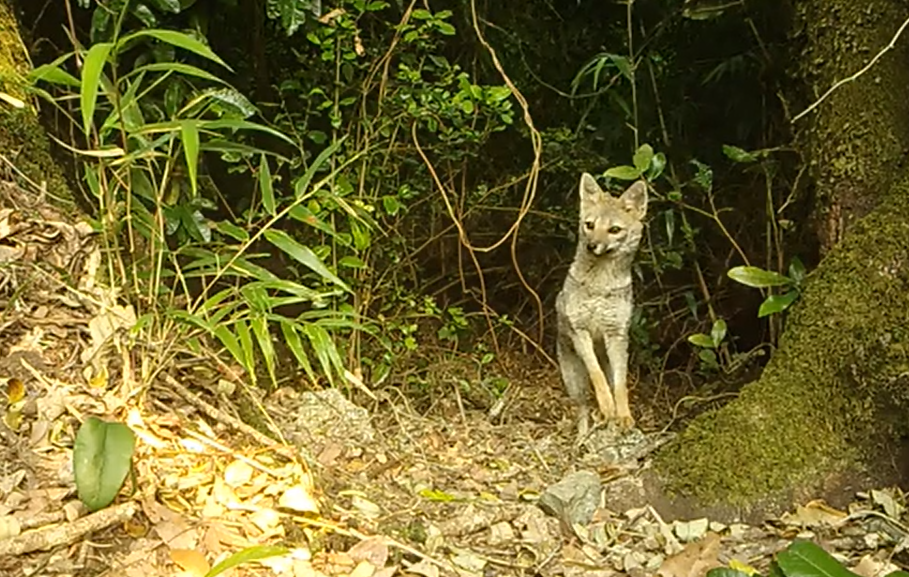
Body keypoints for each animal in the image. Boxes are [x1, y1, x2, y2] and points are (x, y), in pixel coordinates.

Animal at [556, 173, 648, 440]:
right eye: (589, 225)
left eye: (614, 230)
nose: (592, 245)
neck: (599, 285)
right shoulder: (581, 331)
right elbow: (597, 376)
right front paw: (607, 406)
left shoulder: (616, 335)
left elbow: (620, 385)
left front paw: (624, 415)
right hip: (573, 381)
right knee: (583, 408)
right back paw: (583, 437)